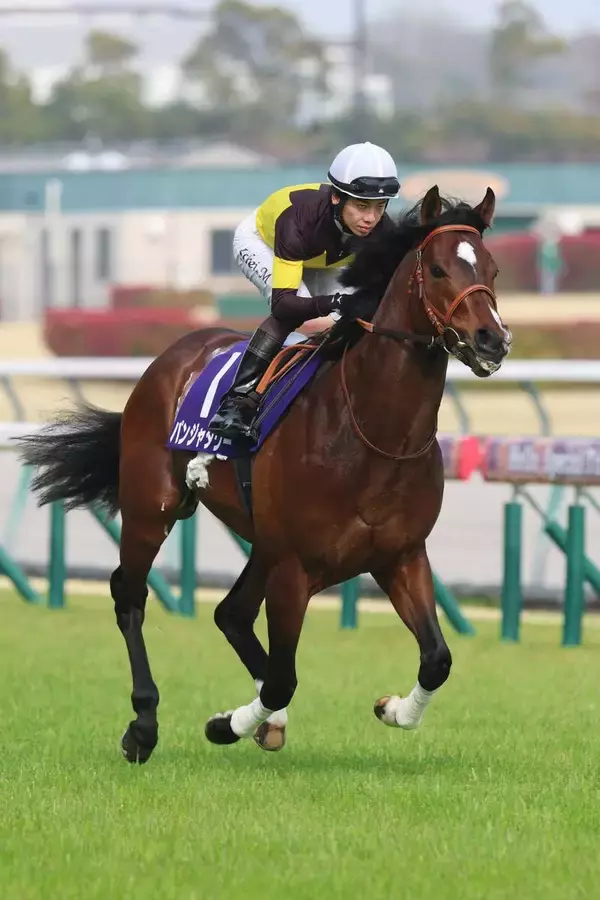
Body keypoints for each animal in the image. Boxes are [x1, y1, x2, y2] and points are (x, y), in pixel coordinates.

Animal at [15, 185, 512, 764]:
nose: (492, 340)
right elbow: (281, 679)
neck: (376, 433)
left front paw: (393, 709)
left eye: (493, 268)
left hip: (264, 543)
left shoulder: (401, 556)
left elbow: (437, 658)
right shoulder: (295, 567)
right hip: (152, 508)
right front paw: (224, 724)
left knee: (229, 613)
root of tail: (170, 358)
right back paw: (143, 724)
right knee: (130, 596)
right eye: (435, 269)